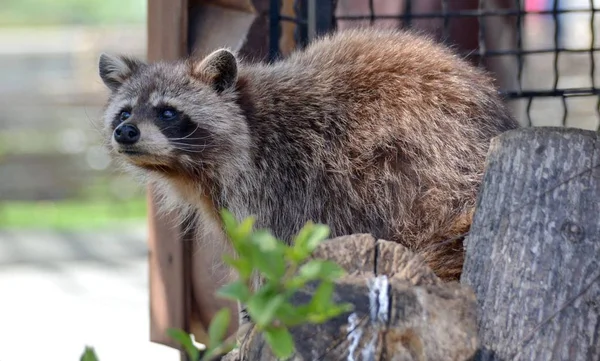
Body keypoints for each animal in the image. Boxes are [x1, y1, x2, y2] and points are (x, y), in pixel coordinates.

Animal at [99, 27, 520, 284]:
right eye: (124, 113)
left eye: (167, 112)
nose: (126, 132)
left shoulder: (282, 178)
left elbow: (275, 255)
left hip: (423, 161)